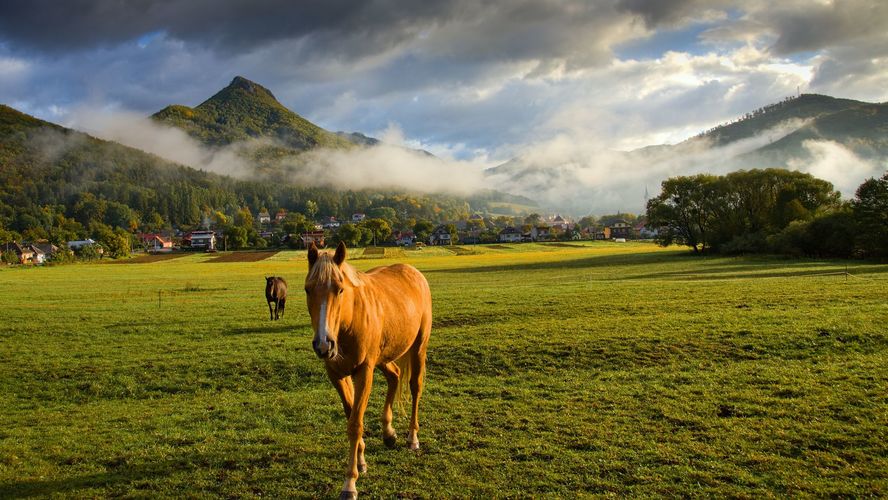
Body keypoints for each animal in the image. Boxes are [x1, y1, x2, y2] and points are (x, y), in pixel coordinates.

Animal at [304, 242, 432, 500]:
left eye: (340, 290)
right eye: (308, 290)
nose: (323, 345)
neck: (348, 321)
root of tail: (414, 272)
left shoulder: (364, 372)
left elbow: (355, 424)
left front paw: (349, 483)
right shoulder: (337, 375)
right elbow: (351, 414)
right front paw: (361, 461)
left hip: (418, 348)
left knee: (415, 387)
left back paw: (412, 438)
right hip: (383, 358)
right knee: (394, 376)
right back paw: (389, 433)